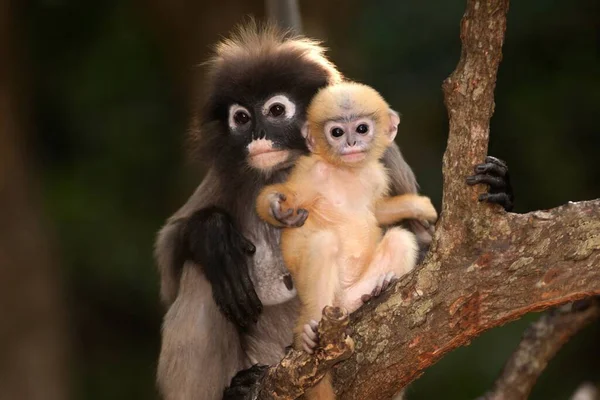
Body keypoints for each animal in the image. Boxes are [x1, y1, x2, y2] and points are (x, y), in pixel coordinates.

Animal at [256, 81, 436, 400]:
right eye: (337, 132)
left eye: (362, 129)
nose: (351, 143)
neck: (346, 172)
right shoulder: (310, 174)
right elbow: (287, 198)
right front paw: (276, 206)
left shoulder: (376, 175)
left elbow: (377, 211)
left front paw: (420, 208)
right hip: (318, 299)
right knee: (323, 244)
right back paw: (306, 332)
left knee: (400, 239)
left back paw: (373, 289)